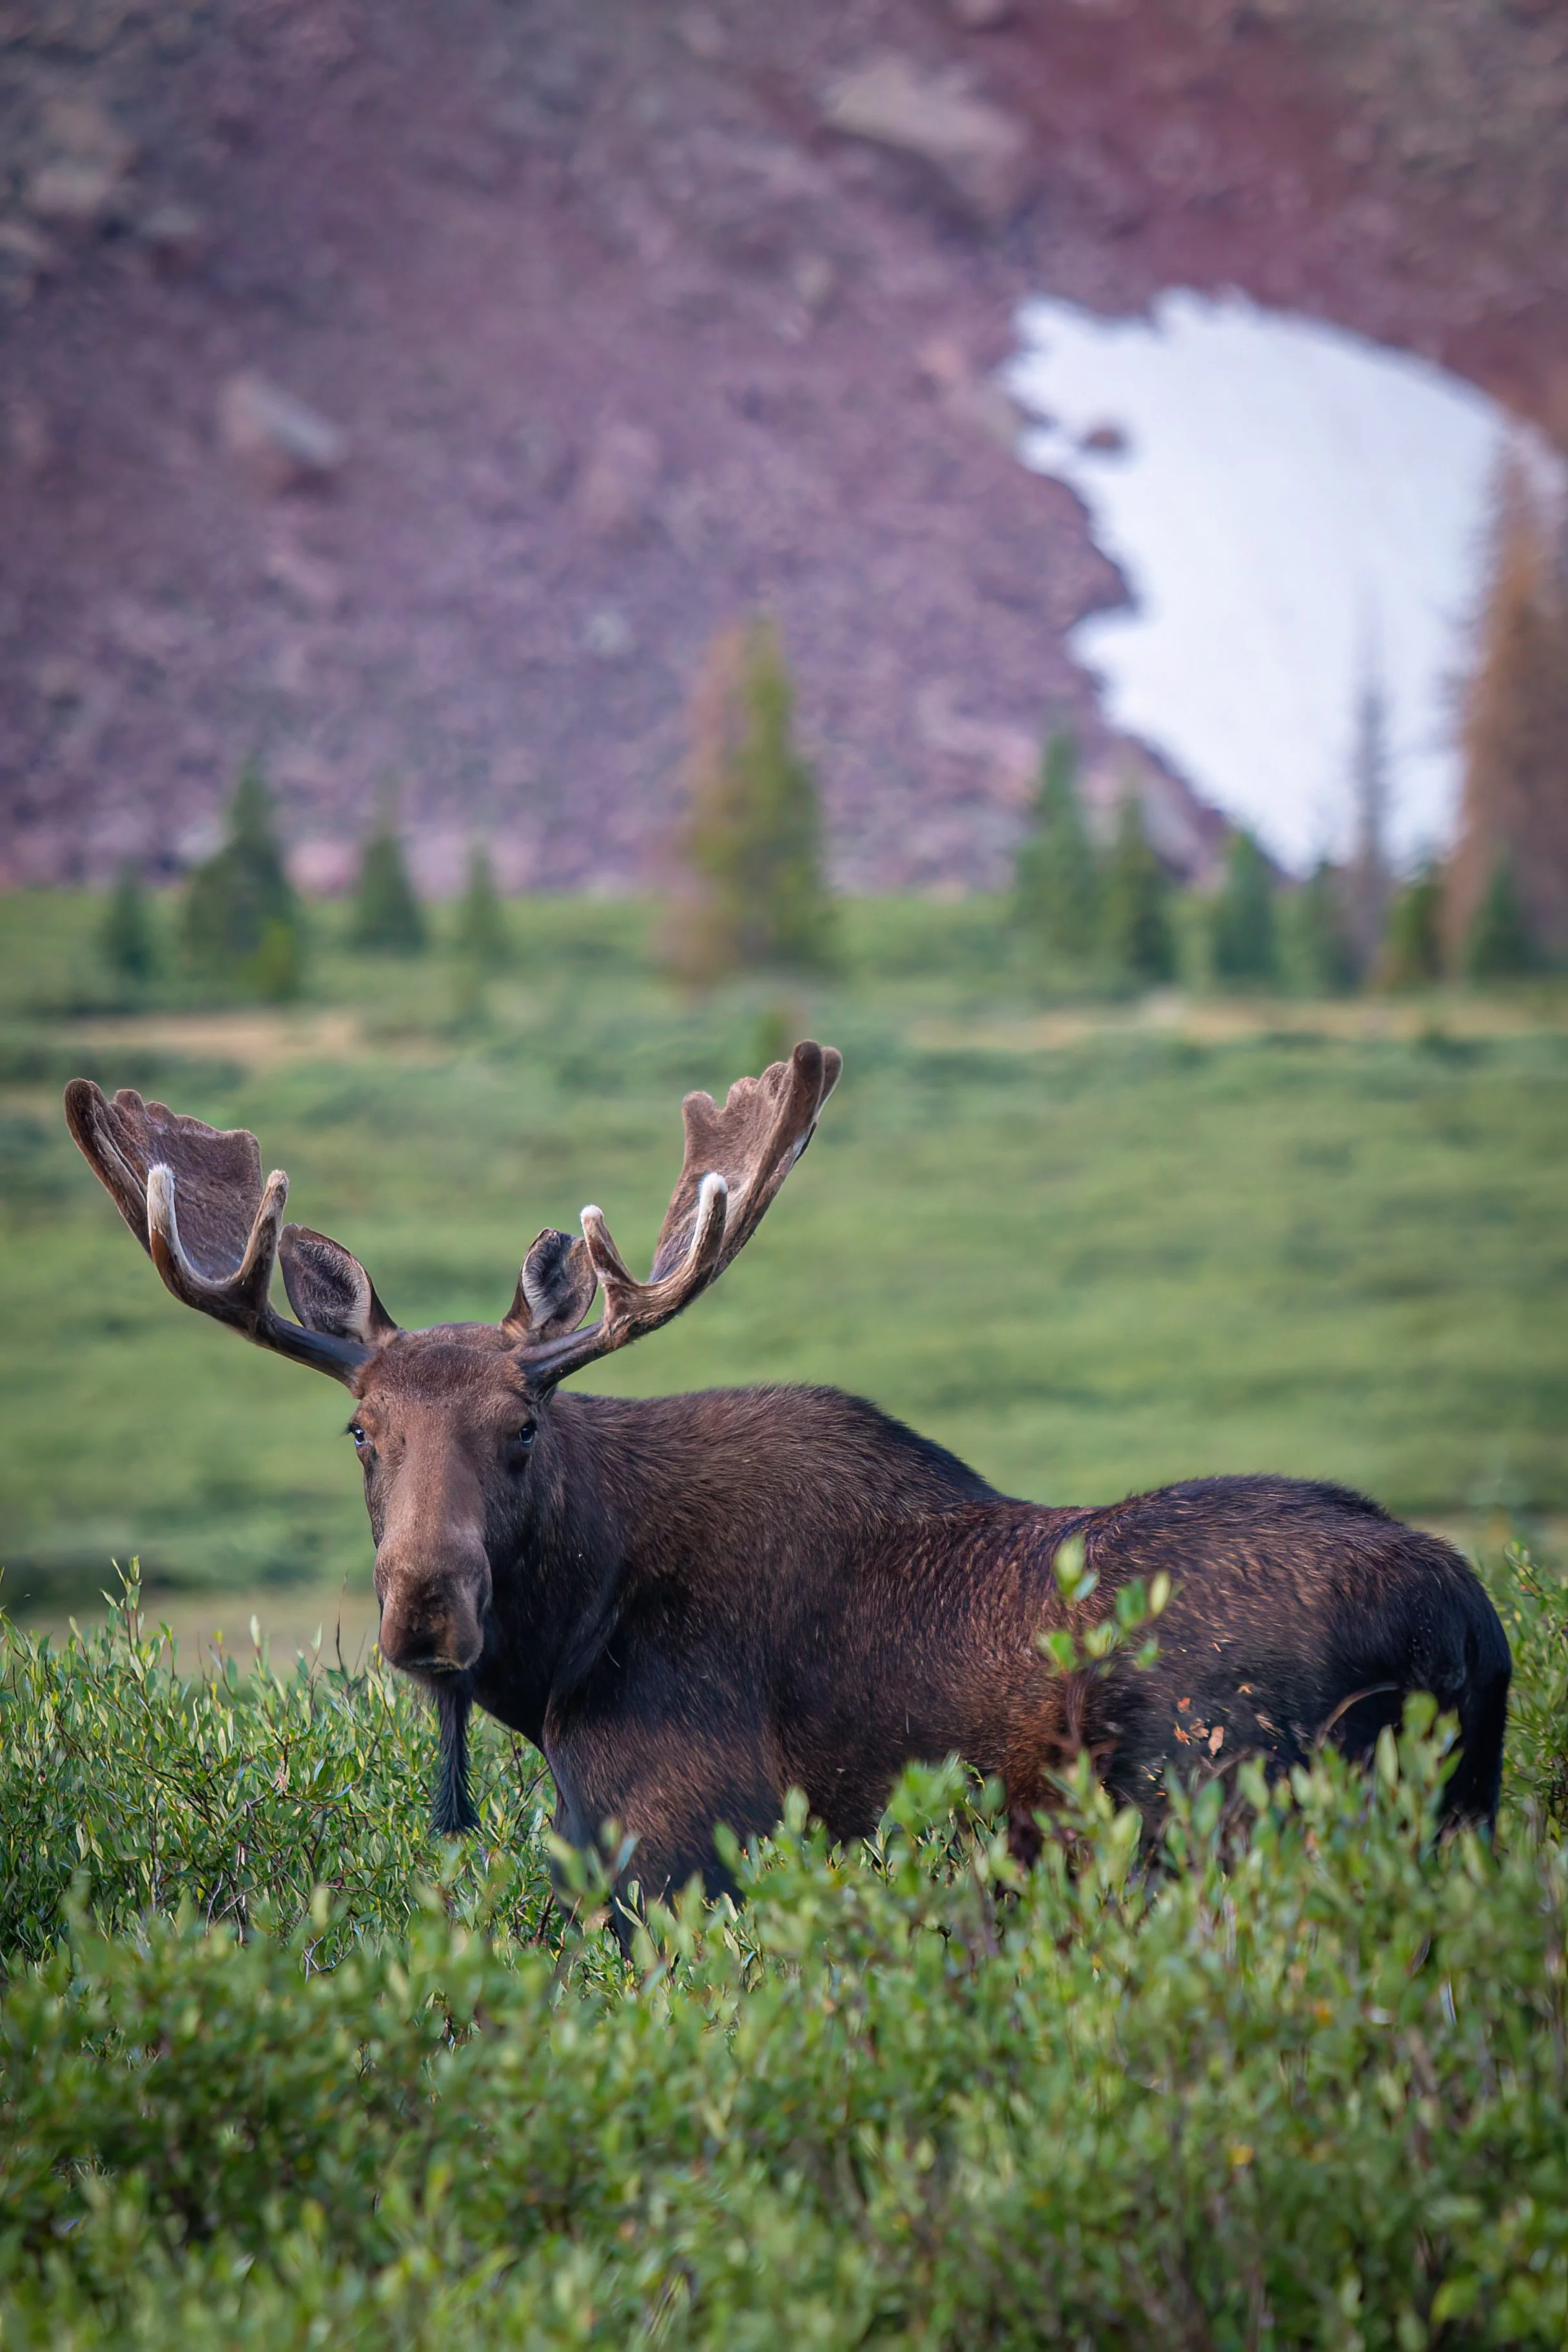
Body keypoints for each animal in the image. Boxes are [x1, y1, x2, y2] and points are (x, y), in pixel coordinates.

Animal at [64, 1044, 1509, 1929]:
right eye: (360, 1429)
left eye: (522, 1424)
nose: (425, 1605)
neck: (567, 1651)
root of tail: (1462, 1624)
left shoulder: (675, 1854)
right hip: (1459, 1817)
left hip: (1233, 1815)